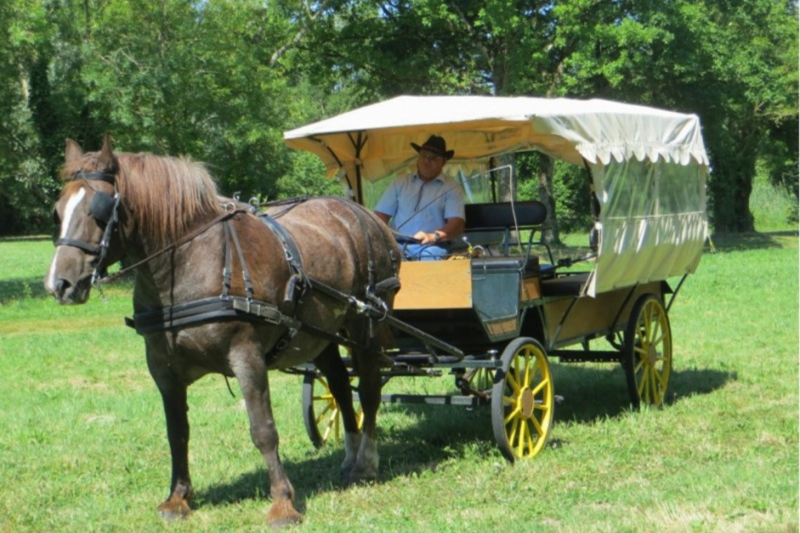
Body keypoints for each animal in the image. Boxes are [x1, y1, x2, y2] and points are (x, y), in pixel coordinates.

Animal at [43, 136, 400, 528]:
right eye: (58, 212)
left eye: (100, 211)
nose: (58, 284)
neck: (190, 259)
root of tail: (367, 217)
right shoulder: (162, 368)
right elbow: (177, 432)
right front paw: (178, 498)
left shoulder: (247, 357)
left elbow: (263, 430)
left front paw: (283, 504)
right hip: (321, 334)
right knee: (339, 386)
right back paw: (350, 457)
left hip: (367, 326)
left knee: (368, 390)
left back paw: (366, 462)